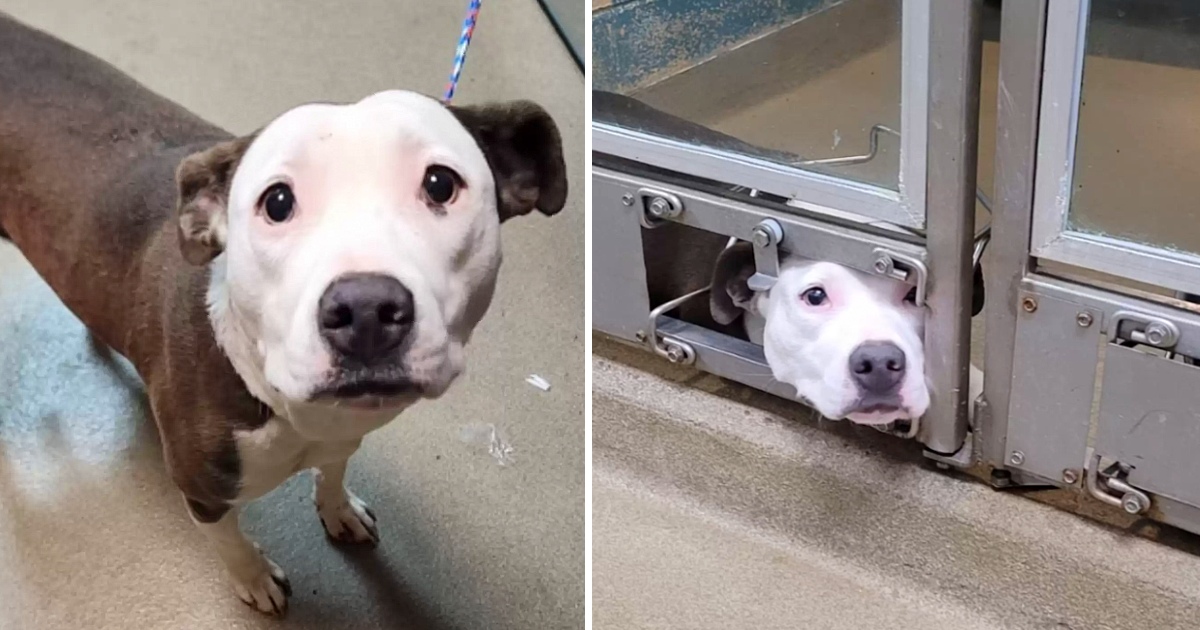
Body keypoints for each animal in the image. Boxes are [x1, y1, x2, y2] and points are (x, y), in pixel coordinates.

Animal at [0, 14, 566, 614]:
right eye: (276, 202)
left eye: (440, 183)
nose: (366, 309)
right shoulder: (204, 490)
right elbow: (230, 542)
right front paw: (253, 578)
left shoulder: (344, 433)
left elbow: (334, 470)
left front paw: (338, 508)